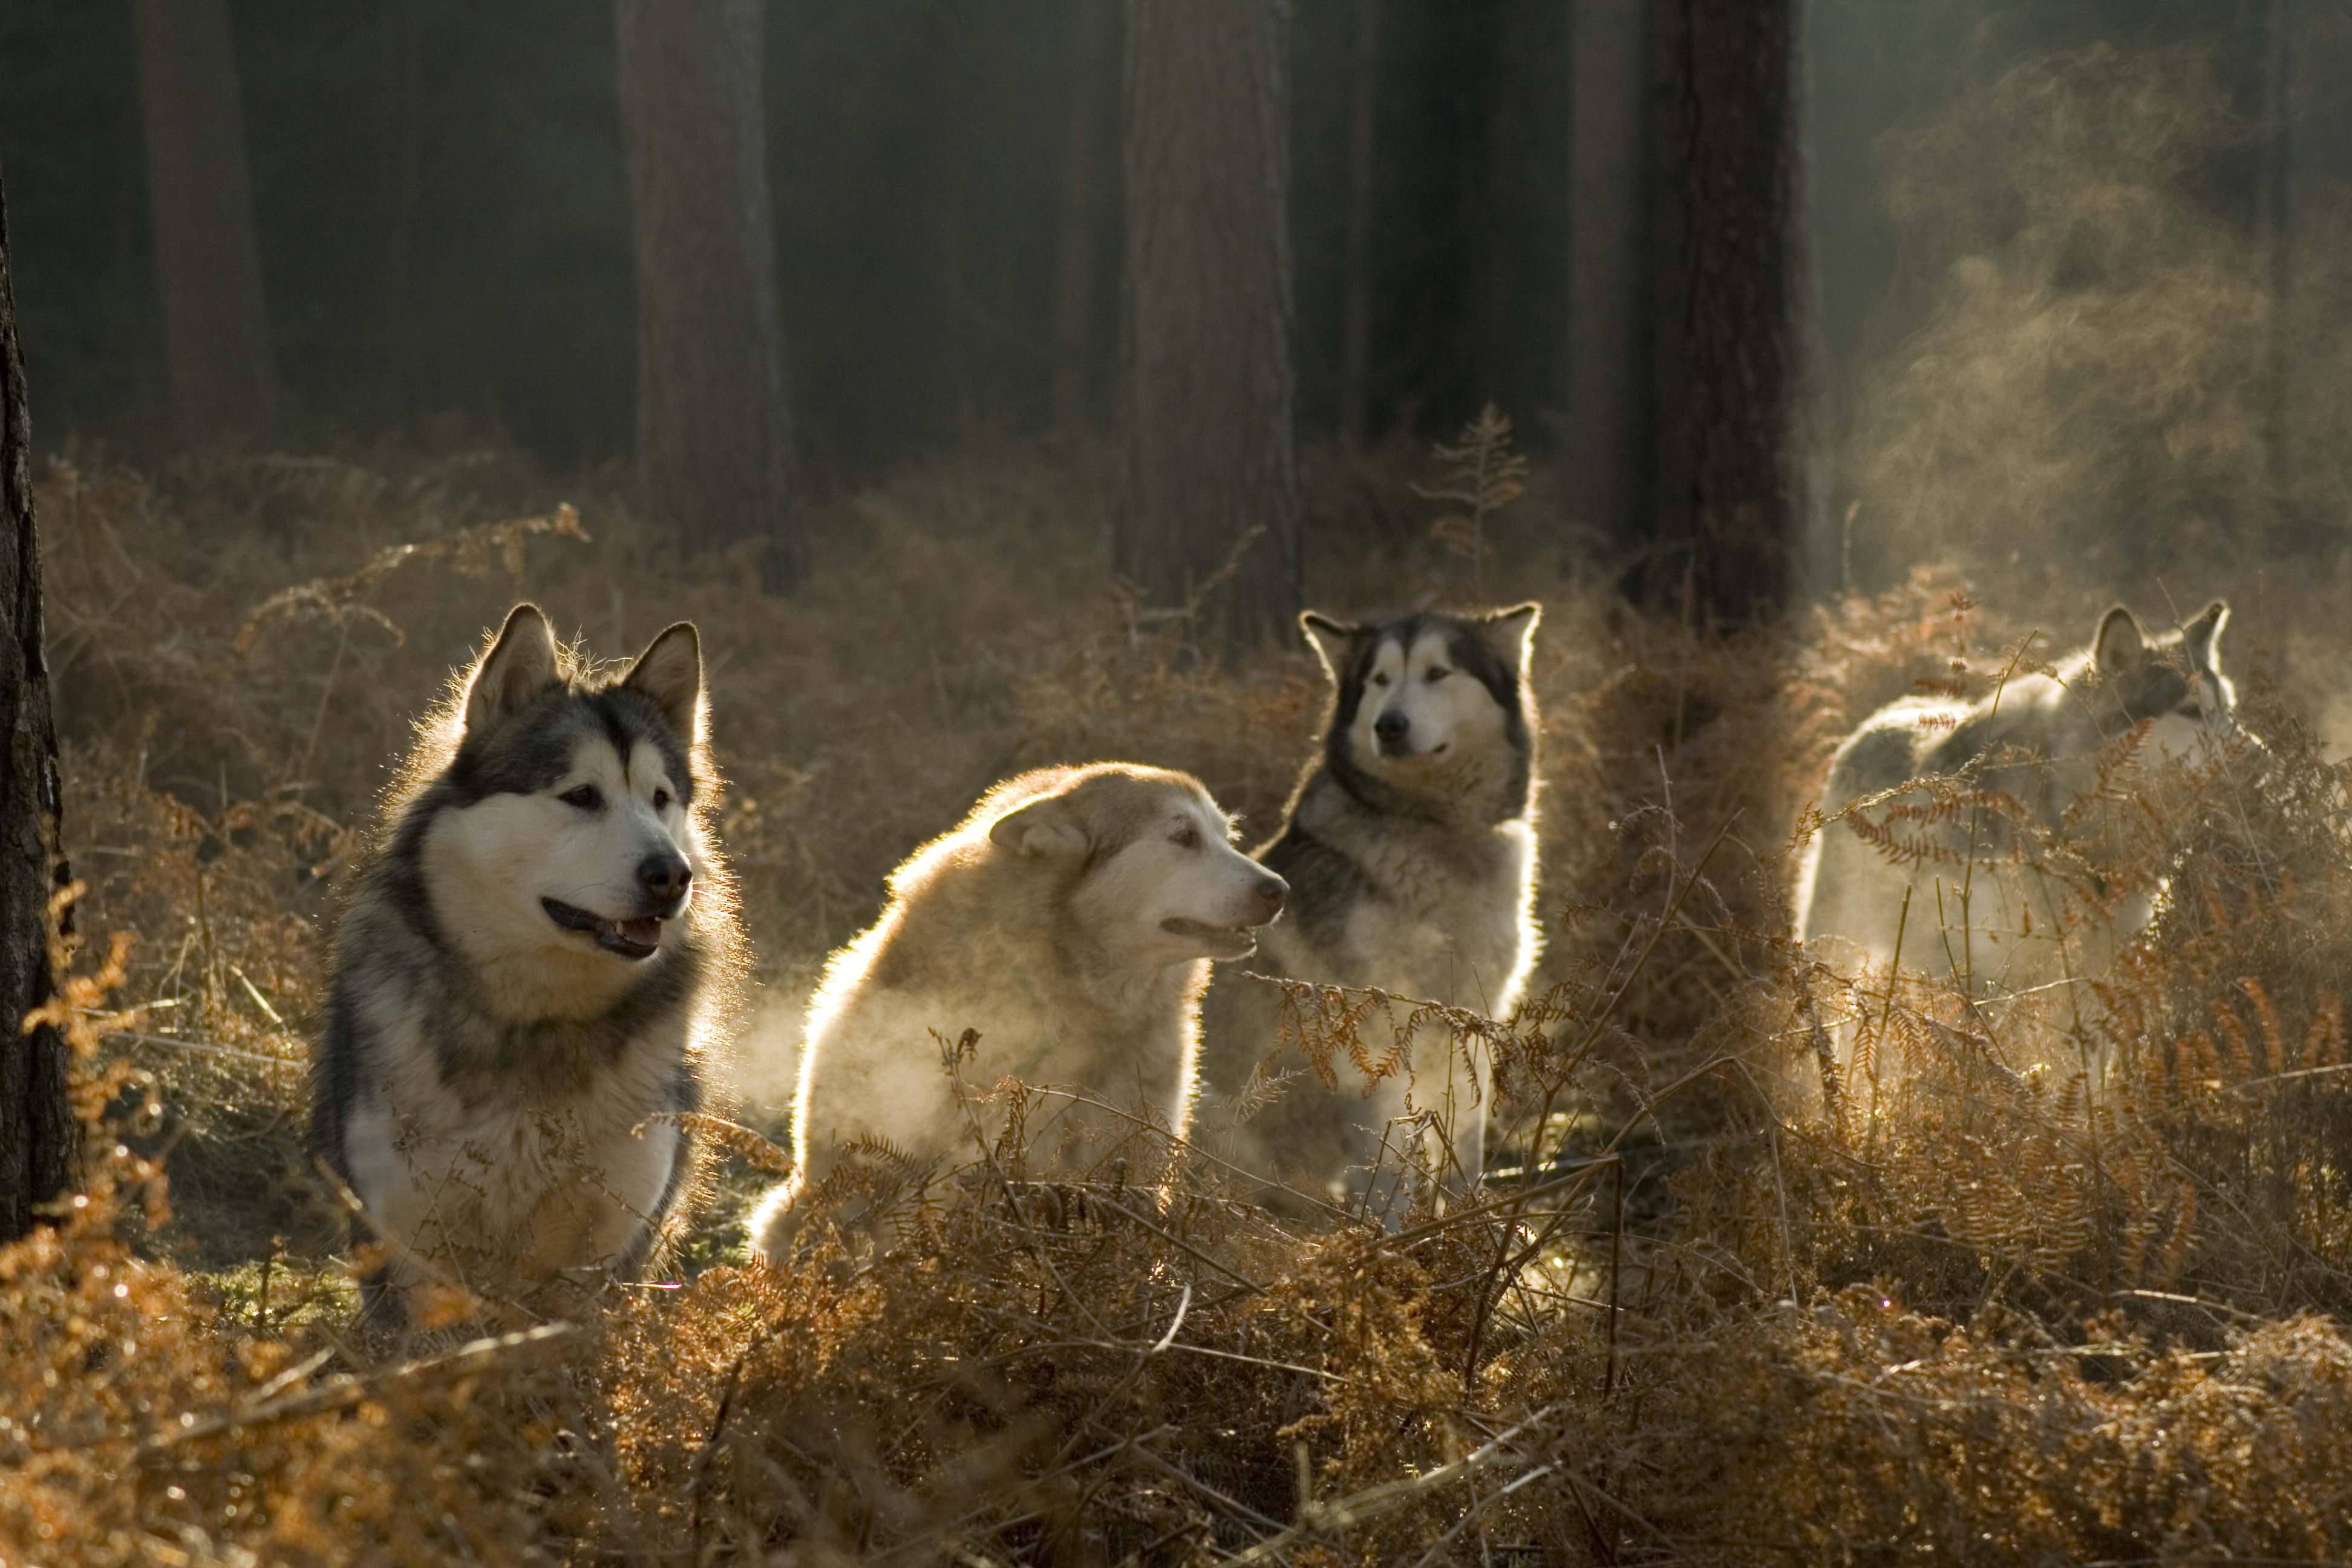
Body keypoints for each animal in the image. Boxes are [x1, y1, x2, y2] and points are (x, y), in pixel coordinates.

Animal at [308, 606, 738, 1325]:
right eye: (582, 795)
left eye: (660, 799)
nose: (672, 876)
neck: (537, 1023)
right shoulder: (410, 1253)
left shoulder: (605, 1258)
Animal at [1195, 606, 1543, 1213]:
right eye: (1379, 680)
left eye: (1437, 672)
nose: (1390, 726)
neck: (1430, 827)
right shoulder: (1374, 1032)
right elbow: (1387, 1169)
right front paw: (1393, 1233)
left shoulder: (1471, 1025)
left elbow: (1464, 1148)